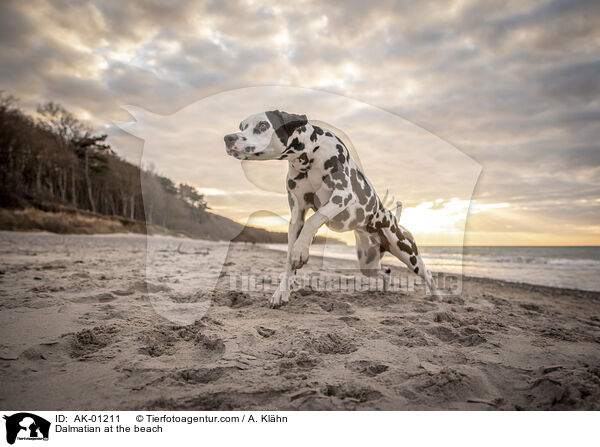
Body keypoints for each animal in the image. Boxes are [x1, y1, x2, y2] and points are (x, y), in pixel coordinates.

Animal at [225, 110, 440, 310]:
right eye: (242, 126)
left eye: (262, 125)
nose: (229, 138)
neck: (310, 154)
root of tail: (392, 218)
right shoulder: (297, 215)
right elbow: (289, 258)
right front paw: (281, 292)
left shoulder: (342, 195)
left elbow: (313, 221)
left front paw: (300, 251)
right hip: (368, 262)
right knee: (386, 272)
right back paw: (384, 290)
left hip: (407, 252)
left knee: (426, 272)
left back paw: (437, 296)